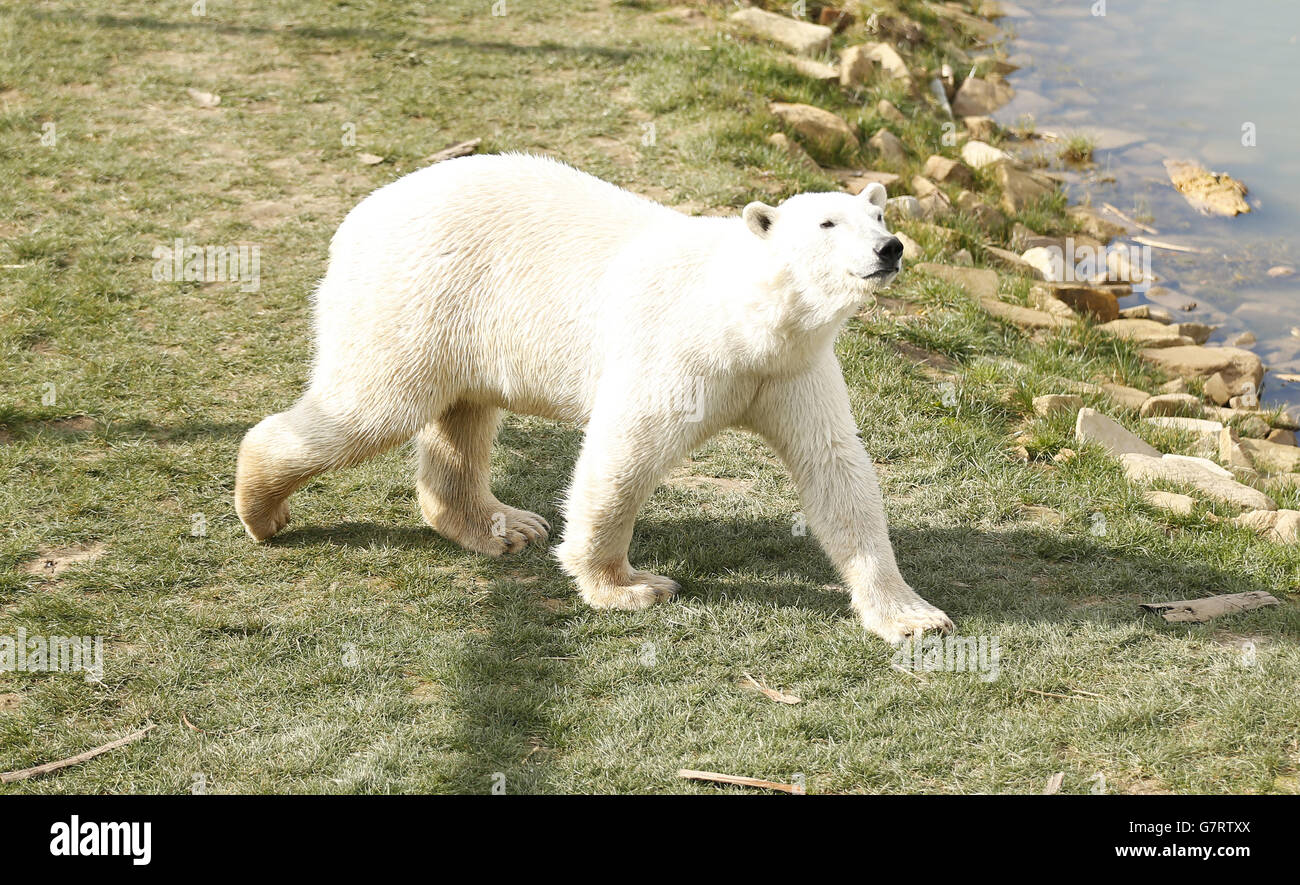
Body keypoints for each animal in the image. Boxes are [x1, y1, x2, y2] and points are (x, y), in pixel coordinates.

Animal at [235, 153, 953, 643]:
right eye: (828, 222)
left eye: (880, 214)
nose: (889, 247)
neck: (744, 320)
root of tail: (360, 214)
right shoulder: (678, 352)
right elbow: (624, 455)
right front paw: (629, 587)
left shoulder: (791, 370)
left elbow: (838, 470)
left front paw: (914, 615)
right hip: (413, 295)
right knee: (372, 407)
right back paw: (261, 506)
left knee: (462, 414)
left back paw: (501, 525)